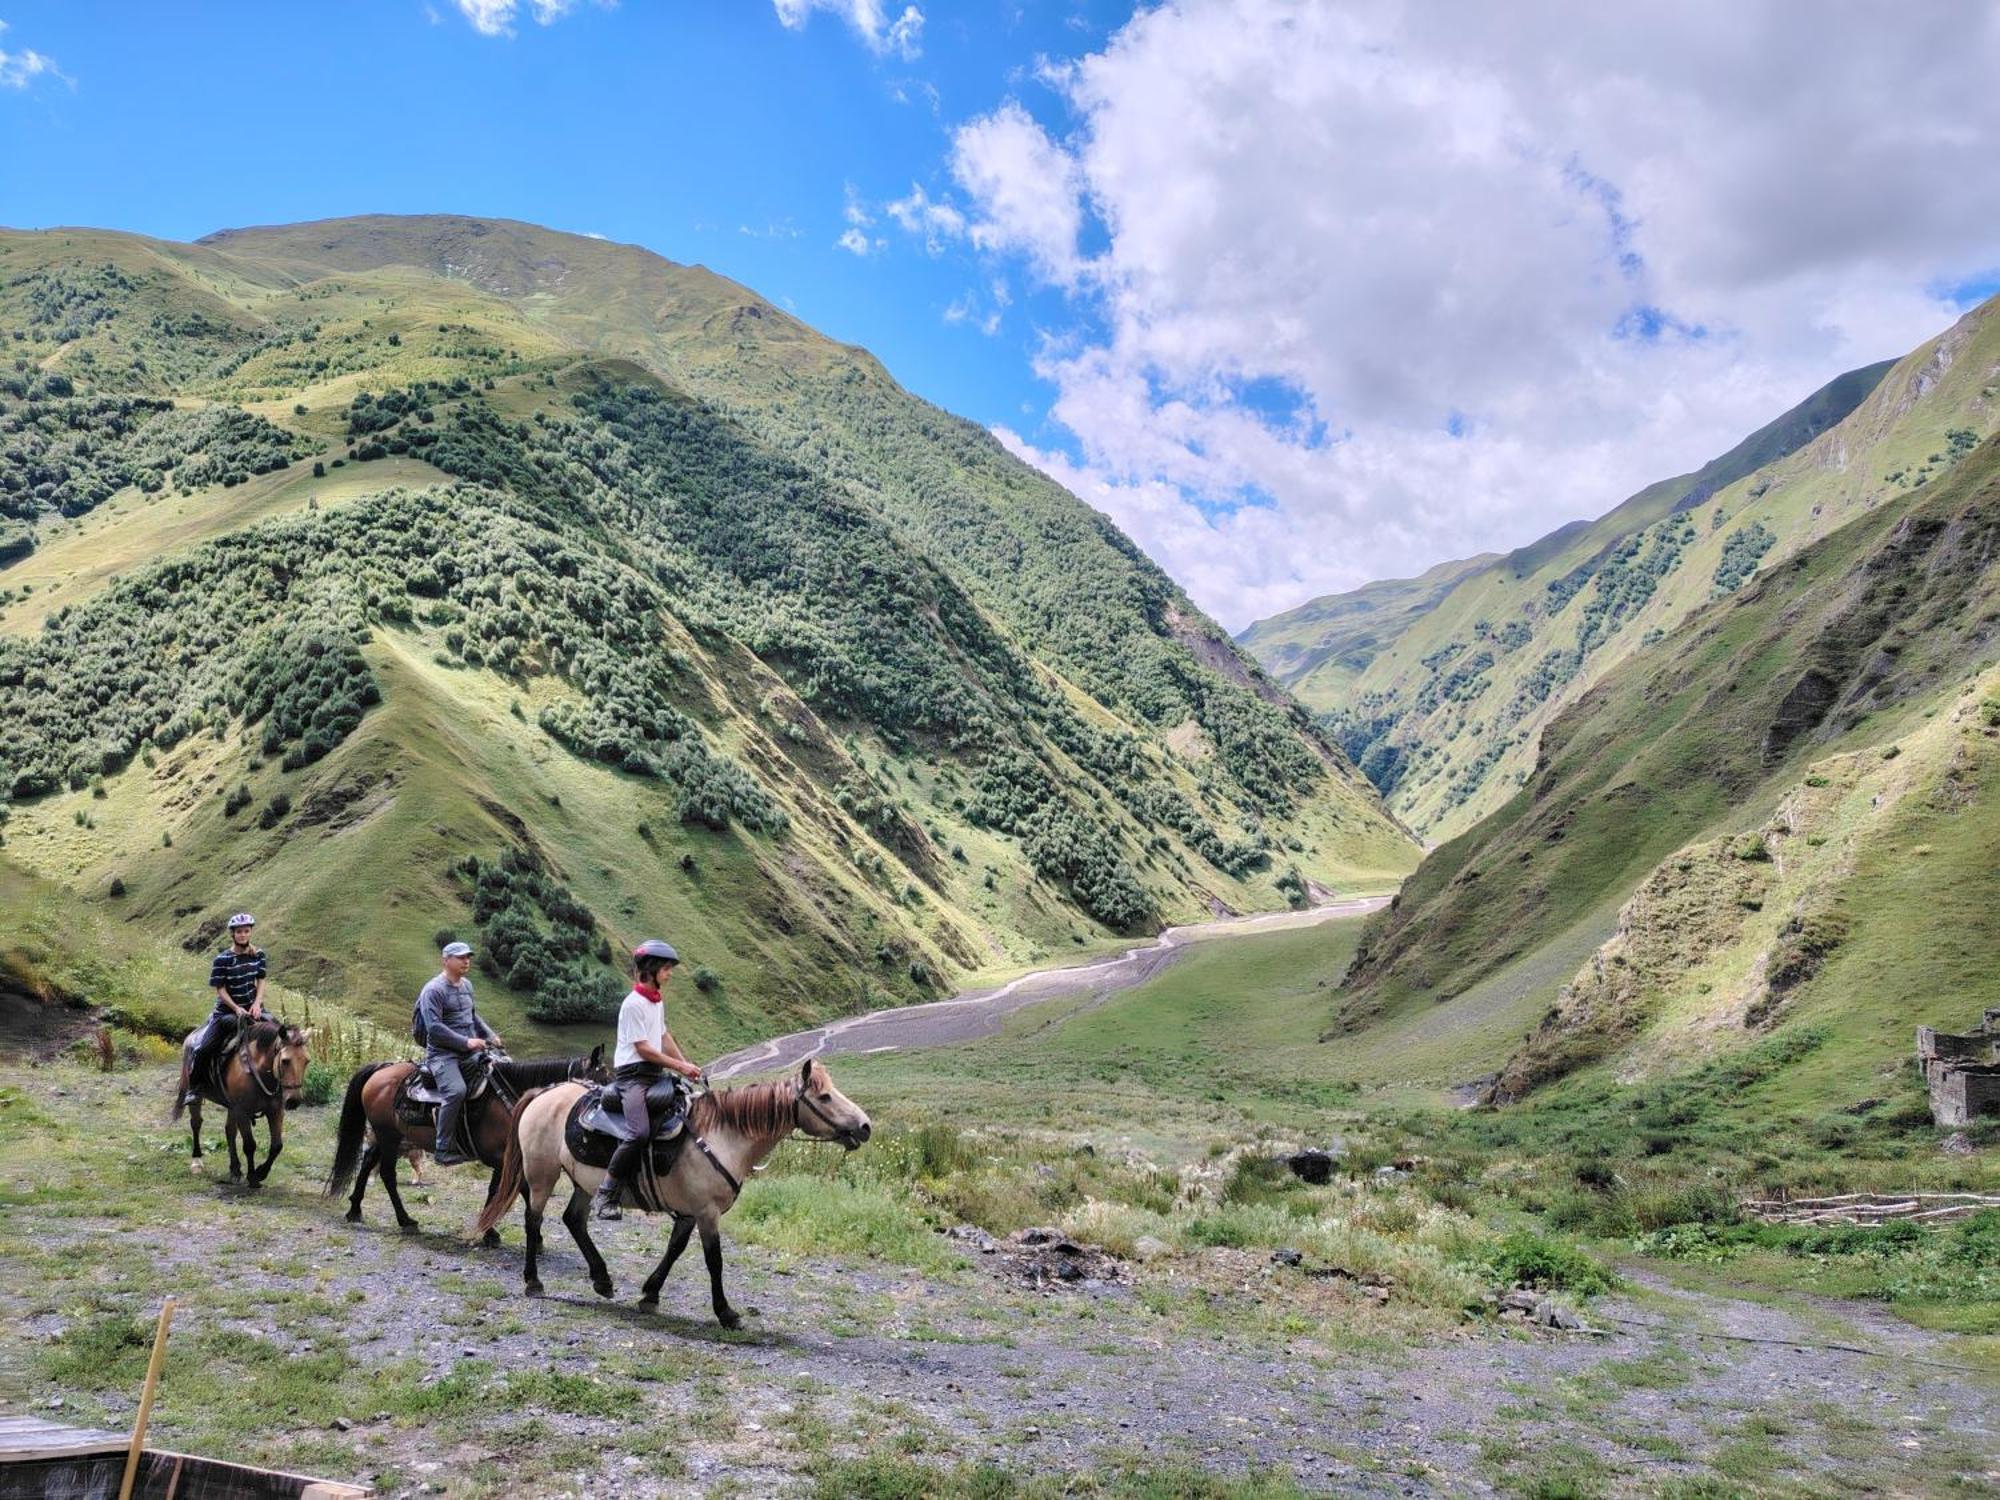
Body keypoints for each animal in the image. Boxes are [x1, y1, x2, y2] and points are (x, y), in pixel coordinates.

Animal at [174, 1016, 312, 1192]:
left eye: (306, 1061)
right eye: (285, 1061)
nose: (294, 1100)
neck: (258, 1070)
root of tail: (192, 1035)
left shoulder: (275, 1111)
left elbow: (276, 1146)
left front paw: (261, 1173)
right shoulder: (242, 1111)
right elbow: (249, 1145)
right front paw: (253, 1177)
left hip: (232, 1108)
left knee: (229, 1131)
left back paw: (235, 1170)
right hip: (197, 1098)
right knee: (196, 1124)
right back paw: (197, 1162)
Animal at [324, 1048, 604, 1248]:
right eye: (601, 1079)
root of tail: (383, 1068)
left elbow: (515, 1191)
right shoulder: (502, 1158)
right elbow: (501, 1192)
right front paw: (490, 1232)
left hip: (386, 1137)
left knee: (368, 1162)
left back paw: (355, 1209)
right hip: (389, 1137)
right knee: (386, 1174)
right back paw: (406, 1220)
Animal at [478, 1056, 876, 1328]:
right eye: (824, 1097)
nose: (865, 1126)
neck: (724, 1136)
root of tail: (543, 1093)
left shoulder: (688, 1213)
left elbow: (674, 1250)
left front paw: (650, 1294)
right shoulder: (707, 1213)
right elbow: (714, 1261)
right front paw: (726, 1312)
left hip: (583, 1182)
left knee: (573, 1220)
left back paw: (602, 1280)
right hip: (542, 1174)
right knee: (533, 1221)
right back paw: (534, 1281)